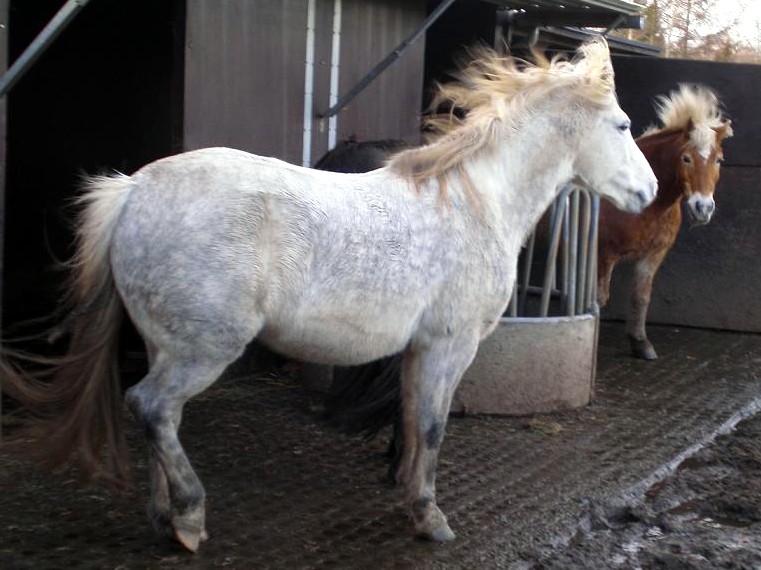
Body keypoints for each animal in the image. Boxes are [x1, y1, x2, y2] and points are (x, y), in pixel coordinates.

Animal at [0, 36, 652, 552]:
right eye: (622, 126)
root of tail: (133, 190)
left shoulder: (419, 349)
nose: (648, 191)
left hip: (169, 344)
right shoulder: (450, 346)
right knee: (152, 407)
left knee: (165, 418)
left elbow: (411, 422)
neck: (476, 200)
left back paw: (167, 519)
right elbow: (433, 427)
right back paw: (189, 515)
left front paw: (409, 495)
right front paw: (430, 519)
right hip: (204, 349)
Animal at [596, 83, 732, 360]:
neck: (650, 207)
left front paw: (641, 343)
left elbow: (641, 297)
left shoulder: (653, 254)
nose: (703, 207)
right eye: (686, 158)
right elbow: (599, 299)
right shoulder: (605, 255)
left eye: (719, 160)